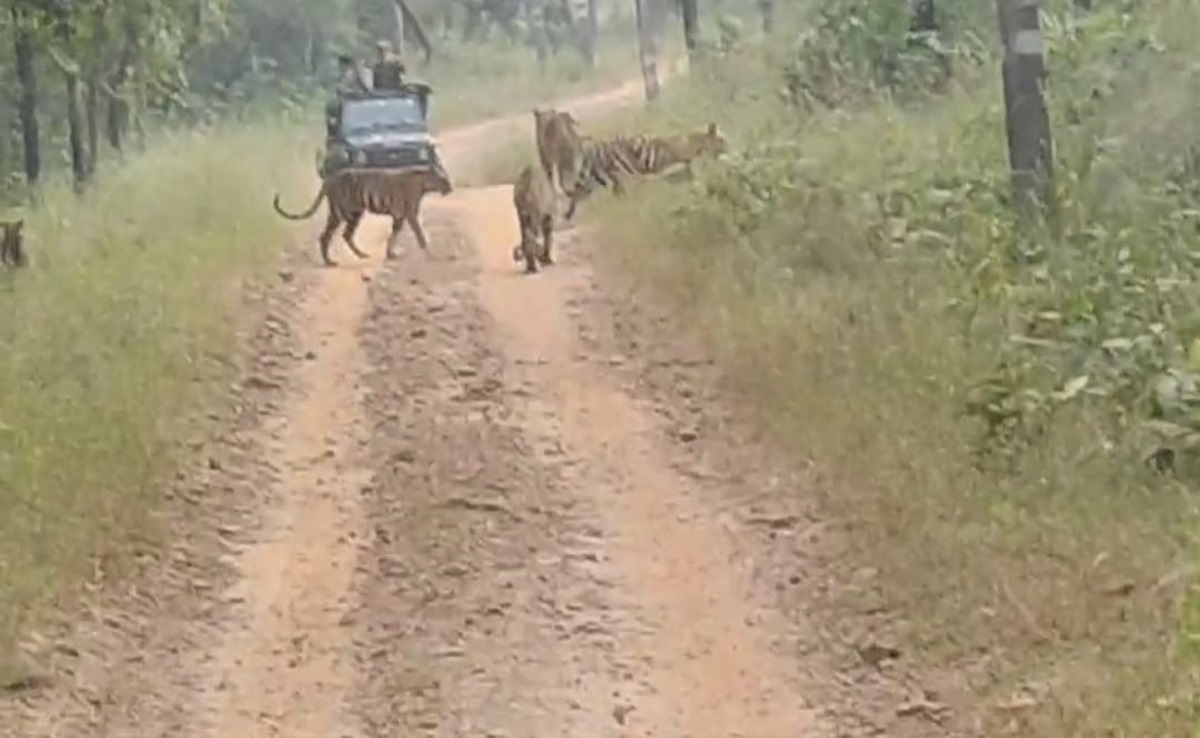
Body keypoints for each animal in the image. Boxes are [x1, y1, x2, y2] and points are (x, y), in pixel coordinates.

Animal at [272, 168, 451, 268]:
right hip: (342, 213)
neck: (424, 183)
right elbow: (419, 234)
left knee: (344, 235)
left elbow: (393, 236)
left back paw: (360, 255)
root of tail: (328, 179)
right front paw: (432, 254)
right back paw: (330, 262)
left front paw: (390, 254)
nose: (450, 188)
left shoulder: (399, 217)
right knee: (327, 236)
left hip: (351, 214)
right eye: (444, 179)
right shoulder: (410, 214)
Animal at [559, 120, 724, 219]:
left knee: (581, 191)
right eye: (722, 140)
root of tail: (597, 147)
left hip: (600, 177)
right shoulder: (673, 165)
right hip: (624, 173)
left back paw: (569, 215)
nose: (727, 147)